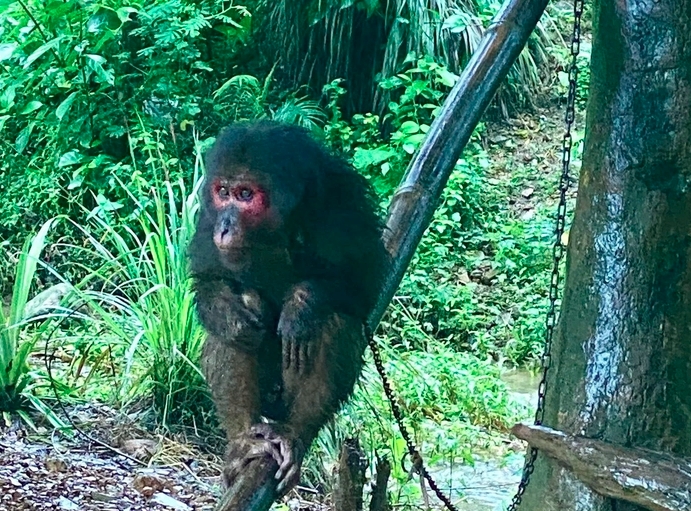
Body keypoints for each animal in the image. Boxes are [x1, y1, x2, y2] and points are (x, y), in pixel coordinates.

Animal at [188, 121, 389, 497]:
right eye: (223, 192)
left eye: (245, 195)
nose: (225, 225)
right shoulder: (207, 215)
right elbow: (210, 279)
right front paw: (230, 316)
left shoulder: (341, 205)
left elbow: (364, 283)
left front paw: (301, 302)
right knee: (241, 318)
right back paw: (244, 441)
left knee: (332, 324)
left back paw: (293, 433)